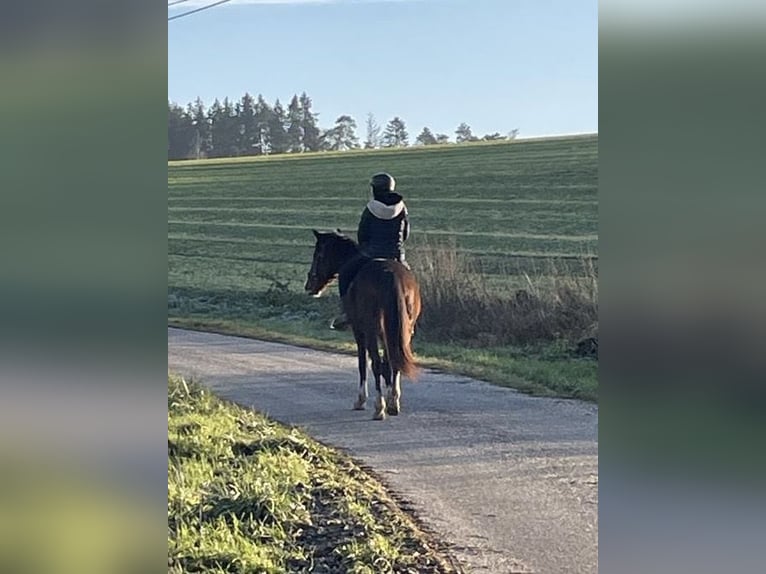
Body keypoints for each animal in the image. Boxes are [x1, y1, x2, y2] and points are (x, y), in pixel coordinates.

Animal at [306, 231, 424, 424]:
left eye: (318, 255)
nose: (309, 285)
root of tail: (391, 274)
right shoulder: (387, 333)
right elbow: (388, 364)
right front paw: (392, 399)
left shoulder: (359, 331)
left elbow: (363, 363)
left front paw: (361, 400)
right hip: (403, 331)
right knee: (394, 361)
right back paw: (392, 404)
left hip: (370, 330)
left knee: (375, 363)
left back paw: (379, 408)